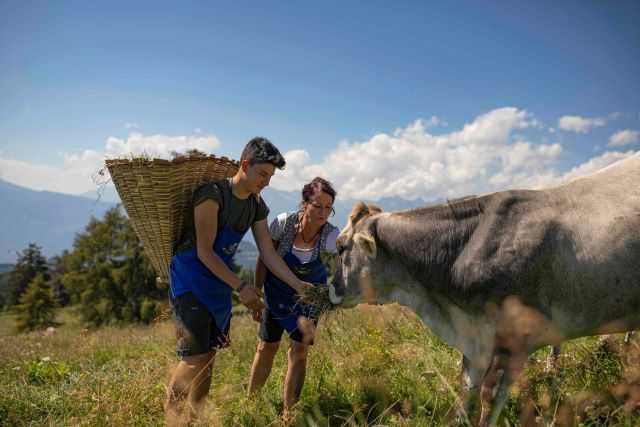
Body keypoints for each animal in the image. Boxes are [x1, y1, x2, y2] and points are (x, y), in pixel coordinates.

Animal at [330, 152, 640, 426]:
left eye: (341, 246)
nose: (332, 288)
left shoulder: (512, 340)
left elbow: (489, 399)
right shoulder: (476, 339)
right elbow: (466, 389)